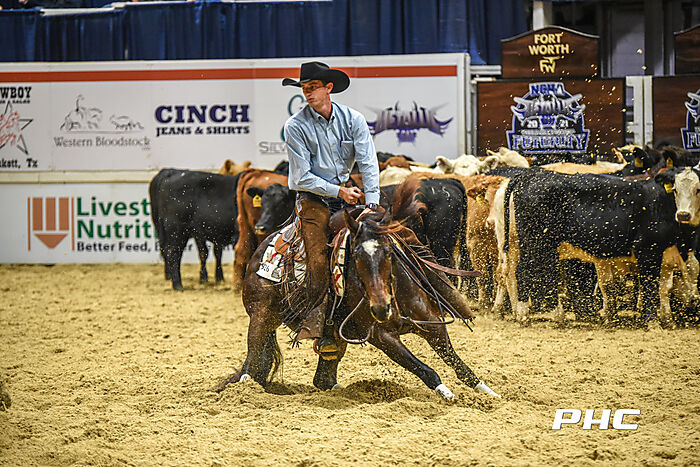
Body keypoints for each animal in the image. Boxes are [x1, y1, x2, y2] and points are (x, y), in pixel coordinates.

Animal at [216, 208, 501, 402]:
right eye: (357, 257)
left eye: (389, 253)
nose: (381, 308)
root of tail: (263, 246)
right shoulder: (382, 336)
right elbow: (424, 369)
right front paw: (447, 395)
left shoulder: (431, 323)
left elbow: (457, 363)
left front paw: (489, 393)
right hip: (261, 316)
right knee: (251, 362)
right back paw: (244, 391)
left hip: (334, 339)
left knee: (323, 378)